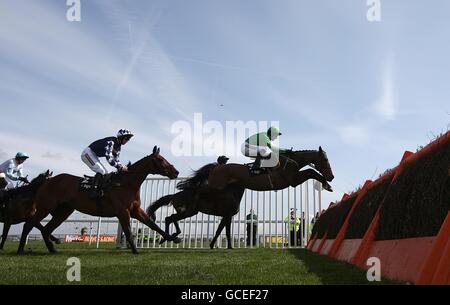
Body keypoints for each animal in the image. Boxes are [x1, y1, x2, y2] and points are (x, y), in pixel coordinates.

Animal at [16, 146, 181, 253]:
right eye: (161, 160)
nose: (176, 171)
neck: (126, 184)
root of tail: (47, 181)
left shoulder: (135, 210)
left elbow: (152, 224)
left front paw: (173, 238)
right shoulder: (123, 211)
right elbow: (128, 230)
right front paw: (135, 250)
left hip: (64, 211)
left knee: (46, 229)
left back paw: (53, 249)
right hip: (46, 207)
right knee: (29, 224)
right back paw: (21, 250)